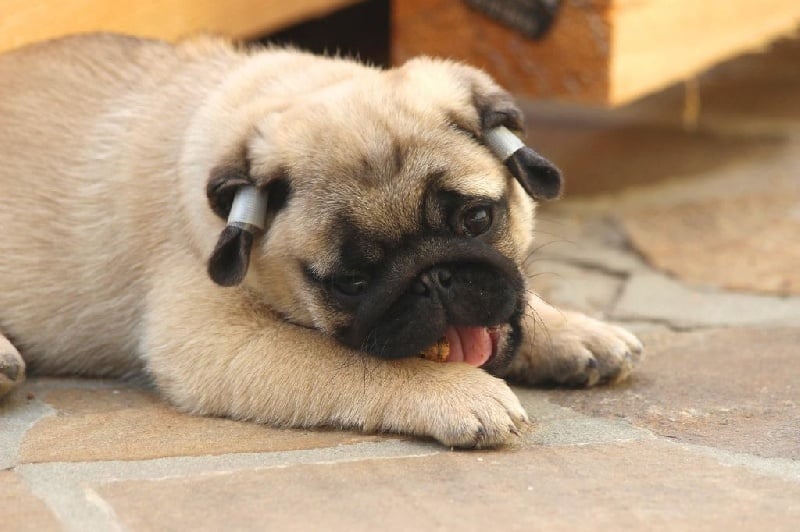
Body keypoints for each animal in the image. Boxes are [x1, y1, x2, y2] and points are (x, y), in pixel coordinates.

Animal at [0, 33, 642, 447]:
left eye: (478, 220)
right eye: (350, 283)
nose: (434, 277)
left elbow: (523, 301)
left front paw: (572, 331)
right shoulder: (215, 339)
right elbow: (352, 363)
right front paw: (459, 392)